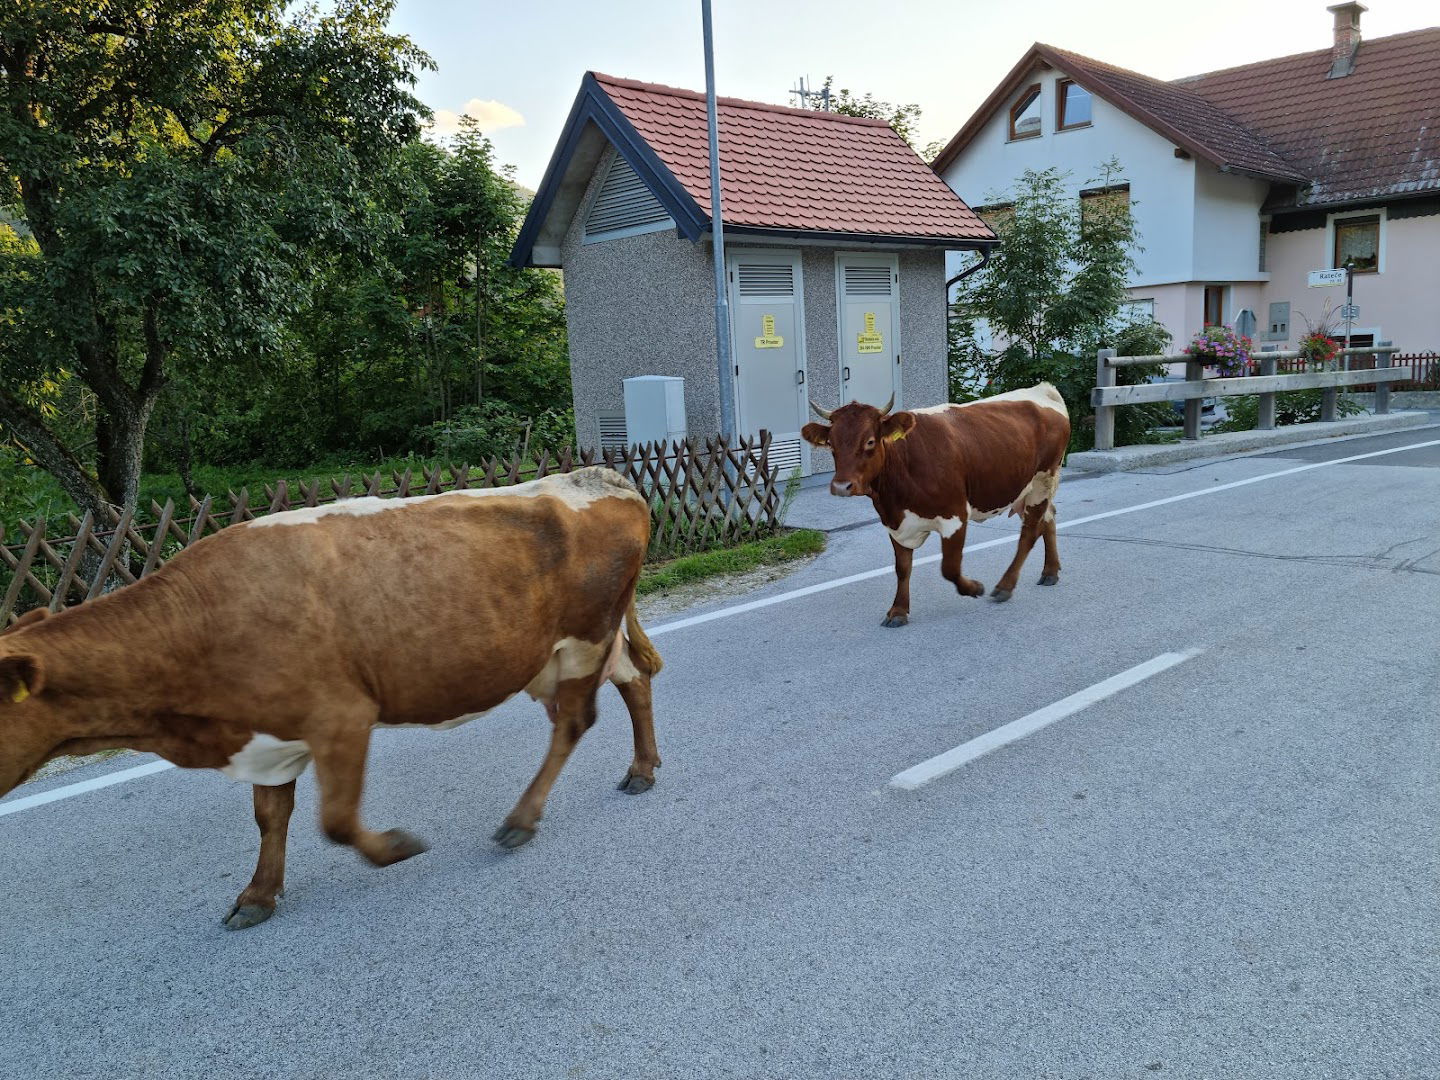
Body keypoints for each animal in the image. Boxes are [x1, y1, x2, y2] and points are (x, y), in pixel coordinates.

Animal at [0, 469, 662, 933]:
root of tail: (602, 476)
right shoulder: (268, 736)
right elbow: (270, 817)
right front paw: (257, 896)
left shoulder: (341, 717)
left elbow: (337, 820)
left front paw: (396, 848)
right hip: (555, 656)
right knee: (633, 680)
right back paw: (642, 769)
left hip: (584, 639)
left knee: (576, 719)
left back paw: (522, 819)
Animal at [806, 385, 1077, 624]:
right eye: (831, 444)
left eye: (870, 441)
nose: (841, 486)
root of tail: (1043, 389)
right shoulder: (895, 523)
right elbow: (902, 568)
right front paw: (898, 611)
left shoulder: (955, 515)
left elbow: (949, 567)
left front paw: (974, 588)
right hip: (1027, 489)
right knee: (1048, 518)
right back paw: (1050, 572)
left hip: (1043, 480)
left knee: (1030, 532)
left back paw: (1005, 586)